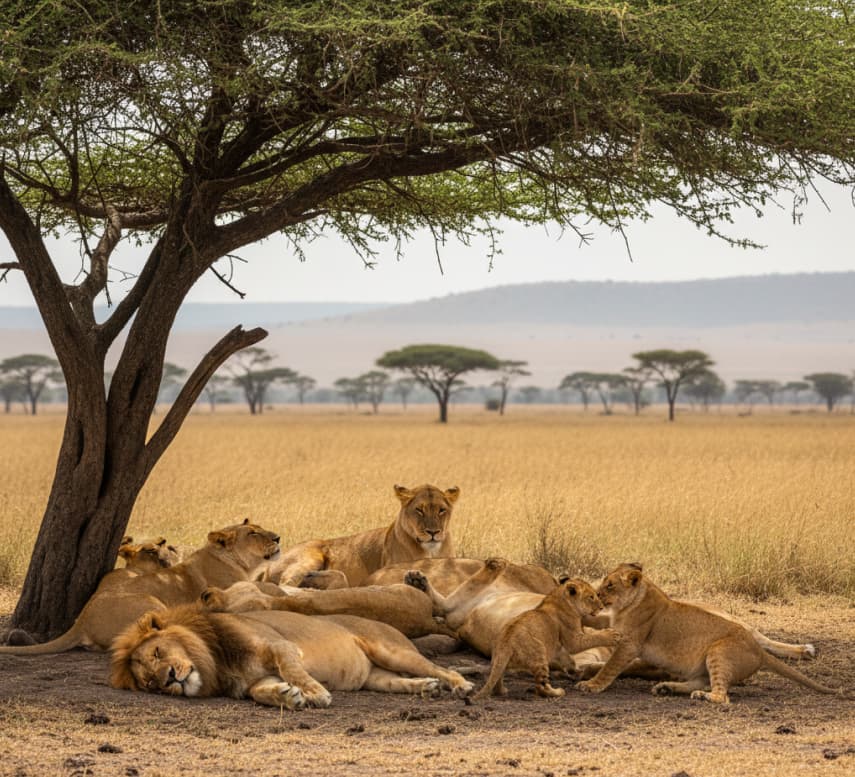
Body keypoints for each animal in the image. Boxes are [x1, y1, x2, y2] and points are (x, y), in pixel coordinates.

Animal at [110, 605, 474, 707]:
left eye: (159, 651)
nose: (170, 678)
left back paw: (460, 686)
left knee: (441, 669)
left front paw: (315, 694)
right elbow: (261, 691)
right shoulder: (252, 681)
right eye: (150, 683)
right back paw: (425, 688)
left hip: (392, 650)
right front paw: (287, 696)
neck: (216, 660)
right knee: (401, 682)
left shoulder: (280, 647)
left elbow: (294, 670)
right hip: (377, 677)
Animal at [474, 578, 620, 700]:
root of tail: (505, 645)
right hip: (539, 654)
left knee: (497, 675)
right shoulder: (572, 639)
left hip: (499, 660)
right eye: (591, 597)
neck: (560, 598)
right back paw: (557, 692)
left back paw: (501, 691)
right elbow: (591, 638)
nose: (601, 607)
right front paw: (611, 635)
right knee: (541, 687)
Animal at [575, 563, 839, 704]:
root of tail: (758, 653)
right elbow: (597, 622)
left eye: (609, 585)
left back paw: (704, 696)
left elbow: (610, 666)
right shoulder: (611, 620)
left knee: (723, 694)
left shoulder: (630, 644)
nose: (596, 595)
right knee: (703, 680)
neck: (630, 603)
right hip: (705, 663)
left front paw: (591, 684)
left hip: (719, 651)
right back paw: (667, 688)